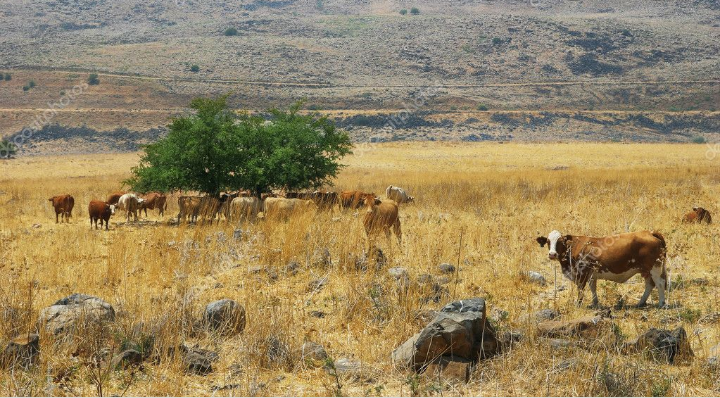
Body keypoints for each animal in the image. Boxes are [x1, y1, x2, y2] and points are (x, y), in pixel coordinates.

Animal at [536, 230, 668, 308]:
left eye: (560, 242)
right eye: (548, 242)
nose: (552, 254)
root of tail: (649, 232)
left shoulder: (582, 273)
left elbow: (581, 290)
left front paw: (578, 304)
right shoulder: (591, 274)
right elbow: (592, 288)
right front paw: (595, 303)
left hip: (655, 267)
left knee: (660, 283)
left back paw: (661, 303)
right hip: (646, 270)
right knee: (649, 284)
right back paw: (640, 302)